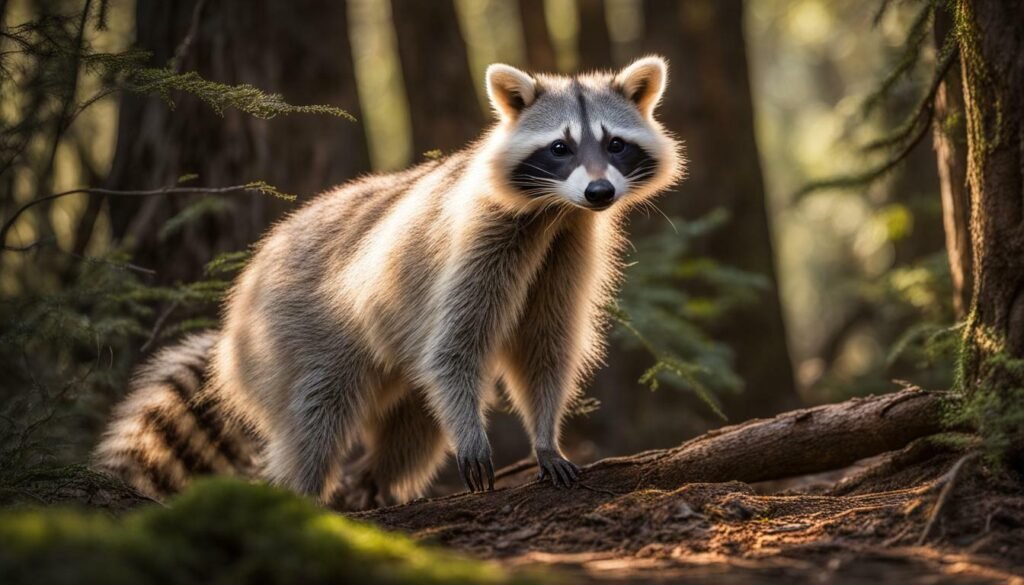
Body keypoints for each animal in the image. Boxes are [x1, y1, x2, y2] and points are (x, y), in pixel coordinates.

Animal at [95, 56, 683, 505]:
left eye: (614, 144)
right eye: (560, 147)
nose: (600, 193)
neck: (553, 213)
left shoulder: (568, 249)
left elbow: (545, 345)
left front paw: (545, 437)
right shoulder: (475, 245)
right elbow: (454, 349)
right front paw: (476, 435)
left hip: (393, 366)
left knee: (413, 429)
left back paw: (374, 483)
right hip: (295, 333)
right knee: (314, 418)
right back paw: (304, 490)